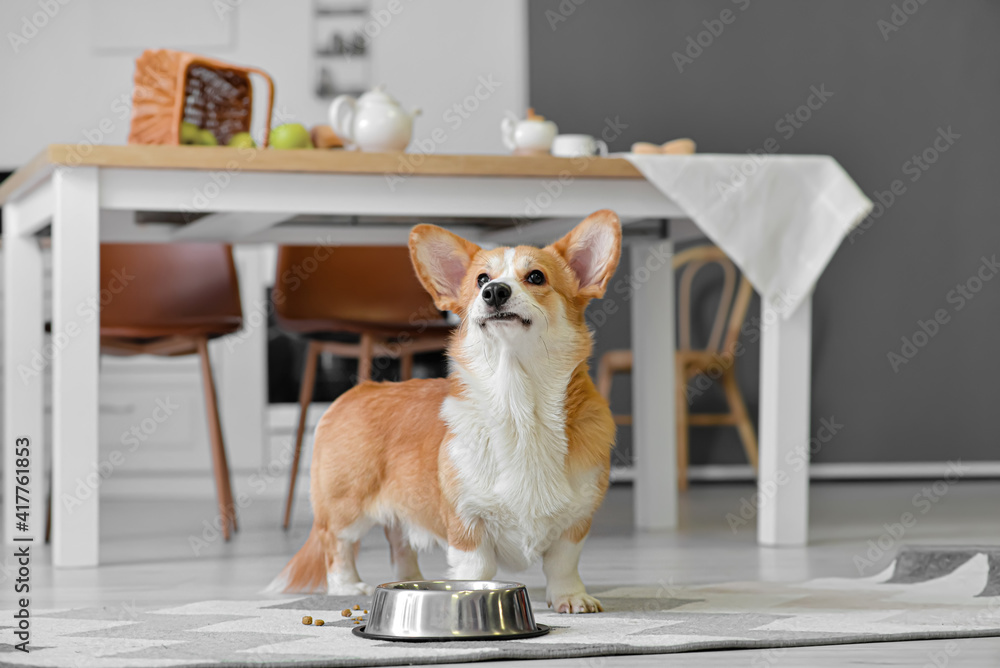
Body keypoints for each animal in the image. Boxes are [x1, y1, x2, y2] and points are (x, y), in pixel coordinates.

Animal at [270, 211, 620, 612]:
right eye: (481, 279)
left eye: (536, 277)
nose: (494, 291)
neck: (517, 404)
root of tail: (359, 391)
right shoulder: (467, 522)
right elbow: (477, 569)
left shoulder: (575, 522)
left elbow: (563, 564)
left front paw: (571, 599)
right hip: (347, 507)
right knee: (337, 545)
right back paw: (348, 586)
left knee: (399, 544)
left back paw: (410, 580)